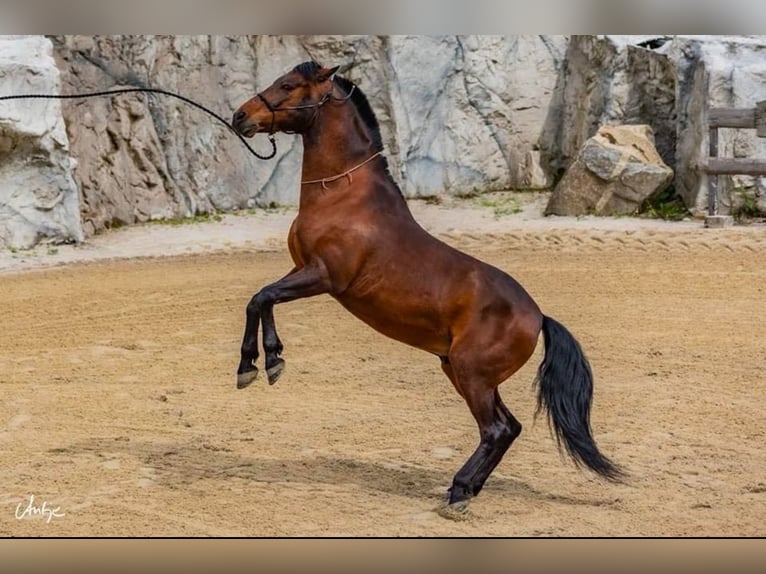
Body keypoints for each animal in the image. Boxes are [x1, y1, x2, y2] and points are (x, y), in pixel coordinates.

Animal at [230, 60, 624, 516]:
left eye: (288, 85)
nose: (241, 116)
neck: (344, 197)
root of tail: (538, 316)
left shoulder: (323, 276)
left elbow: (261, 297)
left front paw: (261, 363)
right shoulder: (301, 270)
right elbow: (262, 299)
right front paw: (262, 362)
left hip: (472, 375)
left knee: (495, 429)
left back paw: (459, 493)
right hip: (461, 371)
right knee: (509, 427)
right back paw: (467, 488)